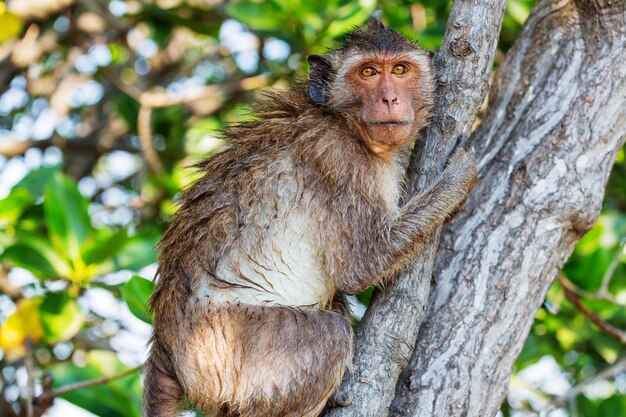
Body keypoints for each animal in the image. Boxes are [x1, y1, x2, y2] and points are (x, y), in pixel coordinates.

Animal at [141, 18, 472, 416]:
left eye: (400, 70)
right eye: (368, 72)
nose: (390, 98)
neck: (343, 122)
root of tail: (164, 343)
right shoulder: (338, 158)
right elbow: (361, 265)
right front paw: (460, 175)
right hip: (228, 349)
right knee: (328, 334)